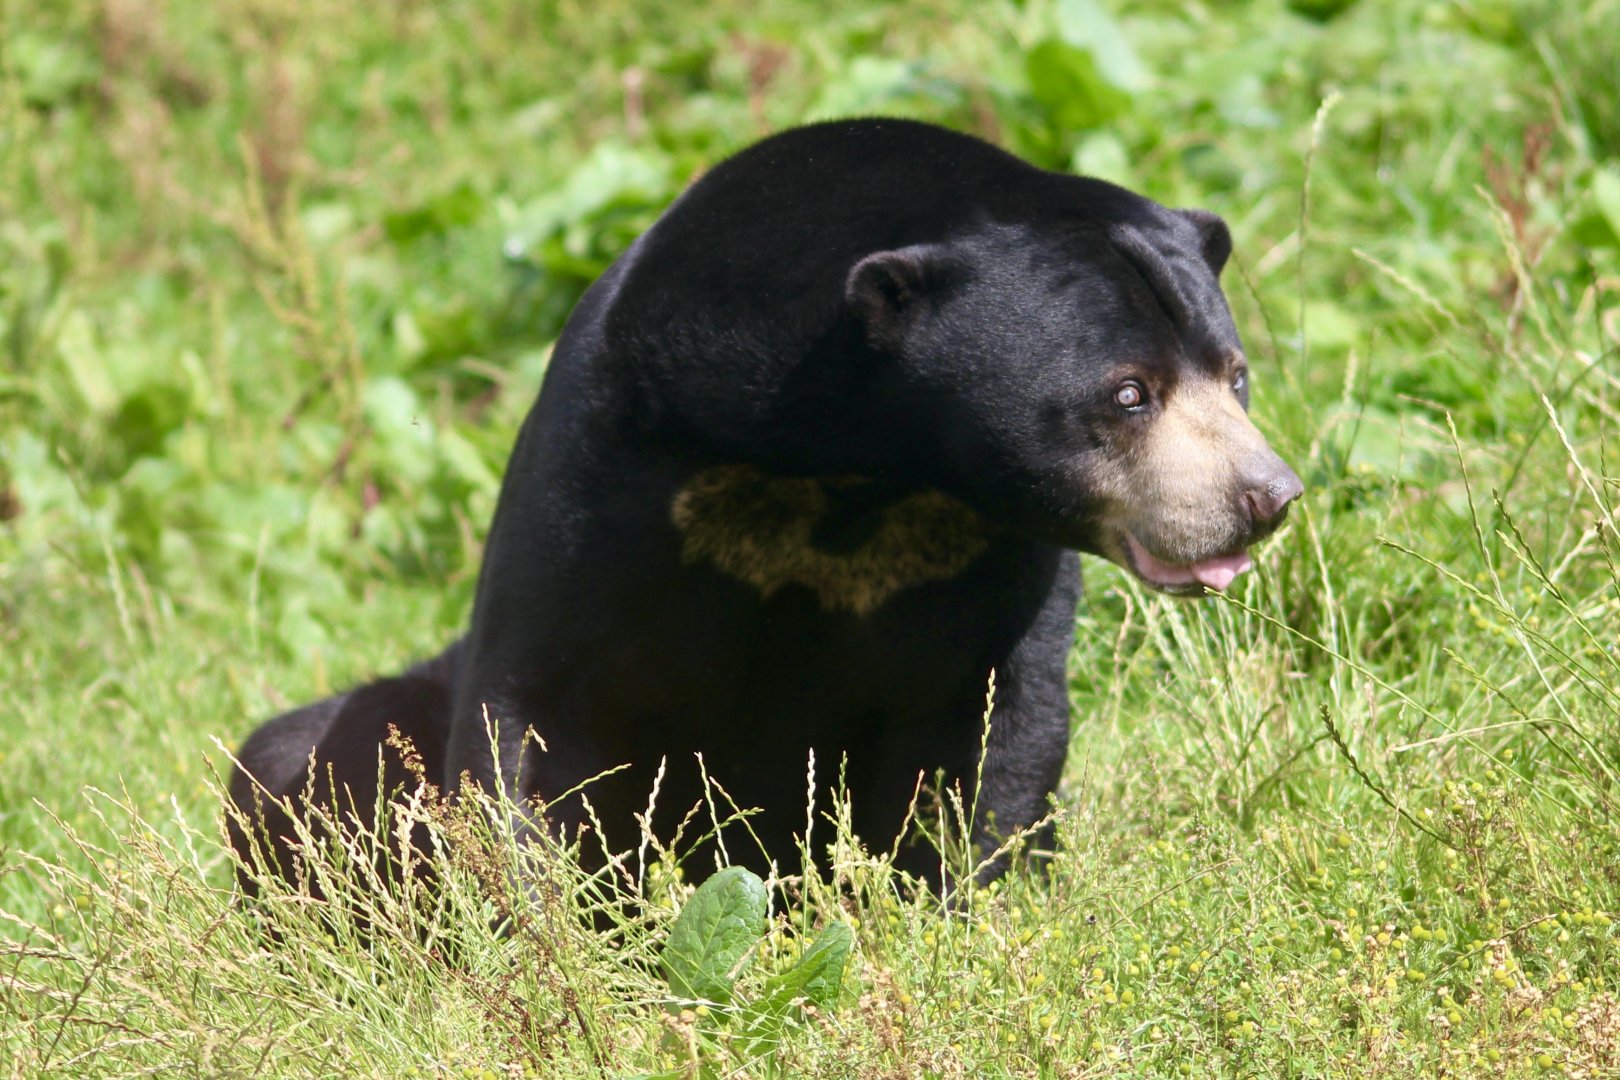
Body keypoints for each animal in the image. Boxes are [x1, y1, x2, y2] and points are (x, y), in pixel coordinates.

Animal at [227, 118, 1301, 898]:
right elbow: (536, 708)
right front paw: (547, 942)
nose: (1266, 497)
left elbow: (993, 724)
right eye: (1129, 392)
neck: (849, 470)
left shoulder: (987, 551)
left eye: (1235, 372)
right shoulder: (608, 472)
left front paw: (965, 914)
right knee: (299, 758)